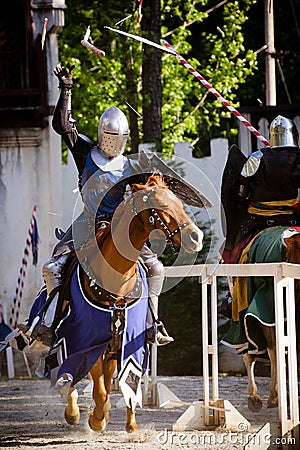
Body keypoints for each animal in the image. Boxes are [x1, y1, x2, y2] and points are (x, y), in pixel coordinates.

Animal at [17, 175, 204, 432]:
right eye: (159, 206)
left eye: (179, 202)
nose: (196, 238)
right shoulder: (88, 341)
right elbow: (99, 387)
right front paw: (96, 420)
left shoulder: (126, 341)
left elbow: (123, 380)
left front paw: (130, 425)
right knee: (69, 373)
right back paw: (73, 410)